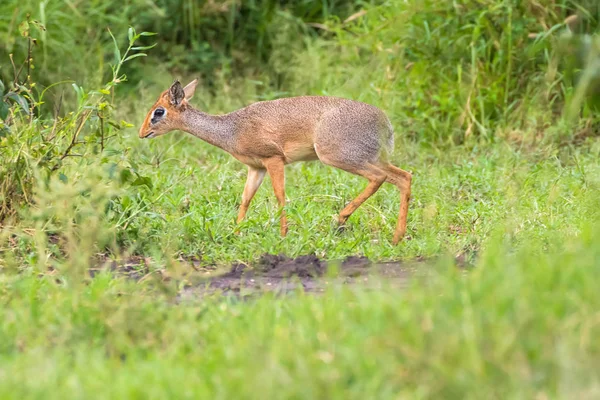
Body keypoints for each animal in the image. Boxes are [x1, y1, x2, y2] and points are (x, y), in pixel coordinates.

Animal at [139, 79, 412, 244]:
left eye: (159, 111)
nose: (142, 133)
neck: (232, 129)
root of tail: (385, 122)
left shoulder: (274, 159)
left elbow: (280, 196)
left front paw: (283, 234)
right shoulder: (255, 167)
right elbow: (245, 199)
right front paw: (236, 233)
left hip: (339, 157)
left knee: (381, 177)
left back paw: (341, 219)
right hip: (370, 158)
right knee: (404, 176)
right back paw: (396, 236)